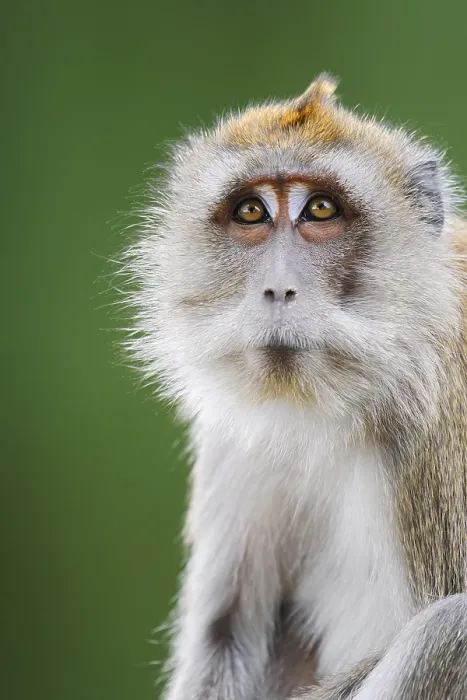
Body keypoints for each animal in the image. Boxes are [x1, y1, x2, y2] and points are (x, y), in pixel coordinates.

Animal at [122, 75, 467, 700]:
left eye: (321, 209)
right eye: (252, 212)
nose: (278, 289)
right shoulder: (240, 432)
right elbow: (226, 638)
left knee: (453, 629)